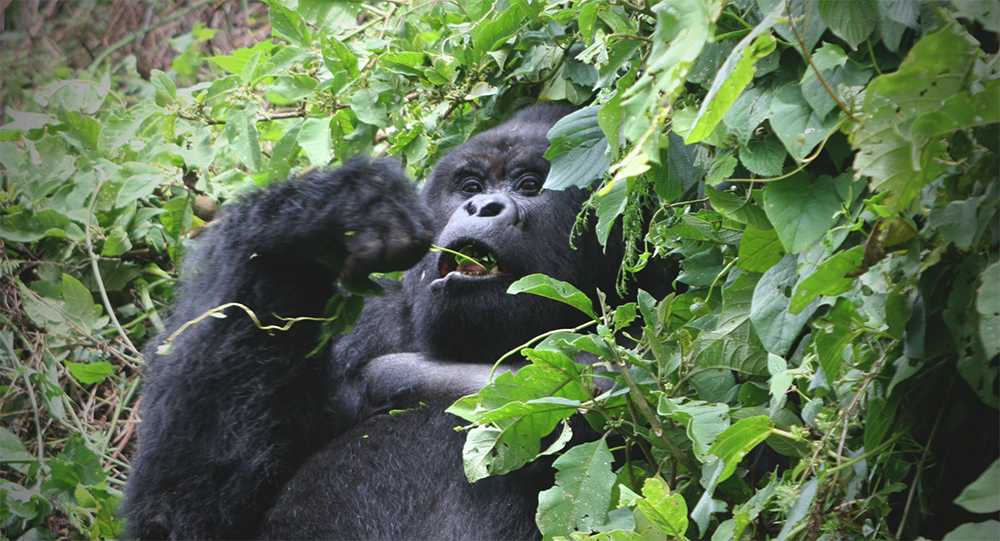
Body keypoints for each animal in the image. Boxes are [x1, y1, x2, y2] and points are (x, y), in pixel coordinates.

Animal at [121, 103, 624, 536]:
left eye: (529, 184)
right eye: (470, 186)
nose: (481, 208)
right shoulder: (369, 324)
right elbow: (181, 510)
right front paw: (322, 213)